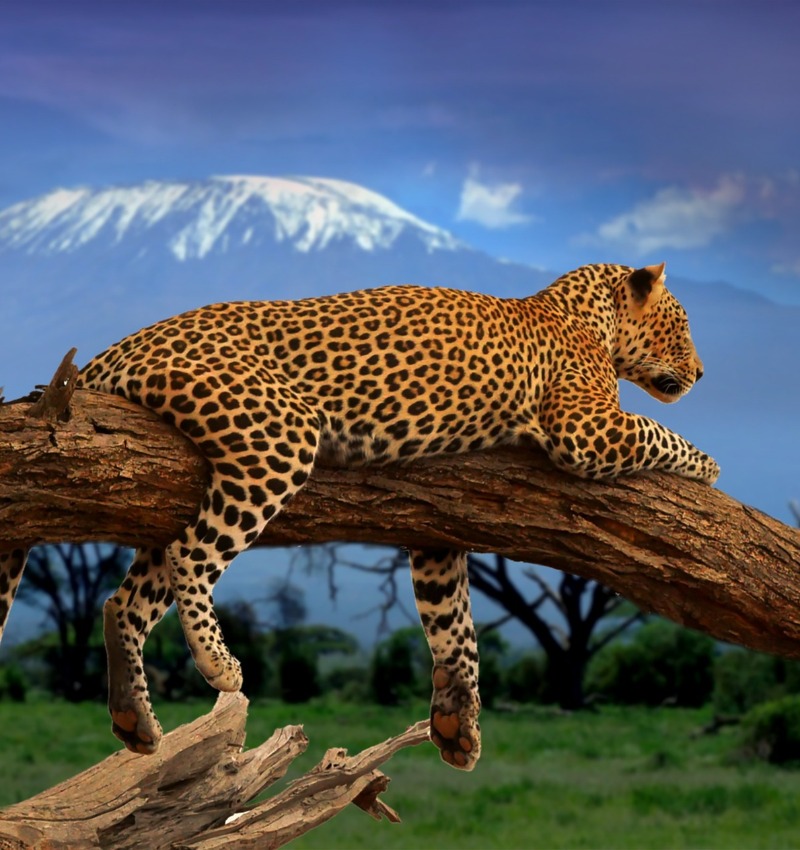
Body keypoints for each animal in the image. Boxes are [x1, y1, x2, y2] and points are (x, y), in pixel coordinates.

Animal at [0, 261, 719, 770]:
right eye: (683, 327)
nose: (704, 372)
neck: (583, 313)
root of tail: (118, 346)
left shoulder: (436, 532)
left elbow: (455, 627)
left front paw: (458, 724)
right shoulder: (587, 429)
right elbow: (657, 431)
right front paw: (709, 465)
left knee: (124, 598)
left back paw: (134, 719)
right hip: (277, 434)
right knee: (190, 556)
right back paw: (220, 666)